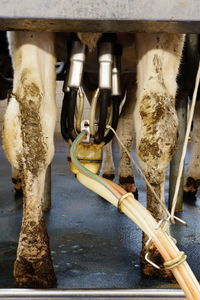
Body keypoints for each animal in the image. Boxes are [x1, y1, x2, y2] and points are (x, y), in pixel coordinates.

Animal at [1, 31, 184, 288]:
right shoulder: (28, 32)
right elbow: (33, 127)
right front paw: (32, 257)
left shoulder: (166, 36)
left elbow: (154, 121)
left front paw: (158, 246)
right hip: (90, 78)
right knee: (102, 121)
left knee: (124, 125)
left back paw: (125, 179)